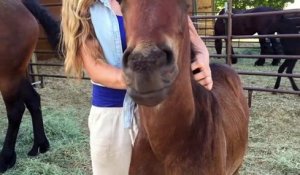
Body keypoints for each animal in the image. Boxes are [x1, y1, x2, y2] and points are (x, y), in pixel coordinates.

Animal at [0, 0, 59, 172]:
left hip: (8, 75)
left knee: (16, 111)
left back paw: (6, 159)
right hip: (17, 73)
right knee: (33, 99)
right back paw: (40, 145)